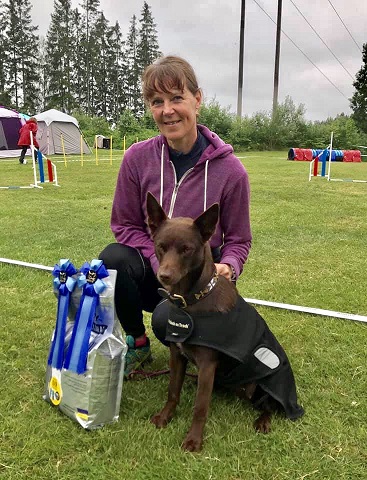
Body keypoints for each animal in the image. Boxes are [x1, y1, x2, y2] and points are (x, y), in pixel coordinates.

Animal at [147, 190, 304, 450]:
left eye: (187, 249)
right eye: (160, 246)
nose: (164, 276)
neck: (192, 301)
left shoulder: (208, 364)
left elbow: (200, 407)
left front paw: (194, 440)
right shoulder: (177, 355)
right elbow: (172, 392)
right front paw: (165, 417)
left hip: (264, 382)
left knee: (270, 405)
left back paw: (263, 421)